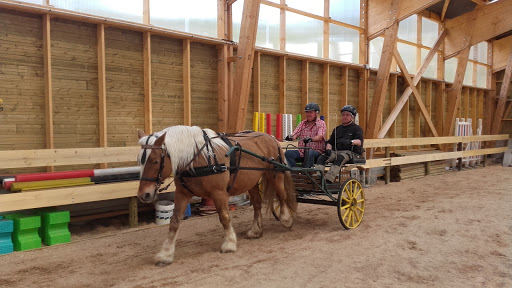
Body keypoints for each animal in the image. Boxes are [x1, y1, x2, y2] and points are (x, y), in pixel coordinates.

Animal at [137, 125, 296, 266]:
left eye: (156, 161)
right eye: (140, 160)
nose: (144, 194)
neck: (199, 158)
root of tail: (271, 138)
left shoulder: (219, 193)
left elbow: (224, 217)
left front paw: (230, 243)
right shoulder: (182, 194)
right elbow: (174, 221)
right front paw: (166, 253)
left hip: (275, 175)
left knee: (282, 196)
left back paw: (286, 219)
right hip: (251, 182)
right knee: (257, 204)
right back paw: (256, 231)